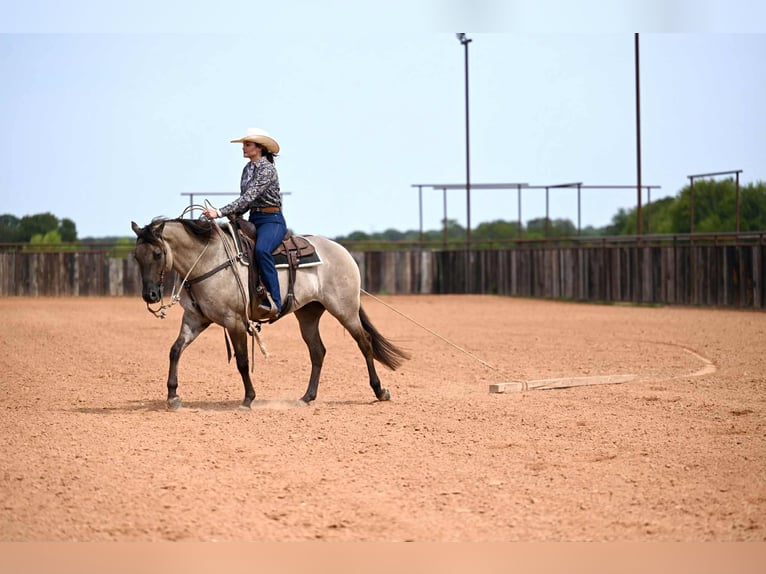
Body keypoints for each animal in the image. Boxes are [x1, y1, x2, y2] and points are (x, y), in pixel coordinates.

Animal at [131, 217, 409, 409]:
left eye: (157, 253)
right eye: (136, 256)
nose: (150, 296)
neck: (208, 259)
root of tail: (342, 252)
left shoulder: (234, 321)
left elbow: (243, 362)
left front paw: (248, 399)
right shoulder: (195, 319)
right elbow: (175, 350)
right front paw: (172, 396)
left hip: (345, 309)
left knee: (365, 343)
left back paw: (380, 391)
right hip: (308, 314)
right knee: (318, 351)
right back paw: (307, 397)